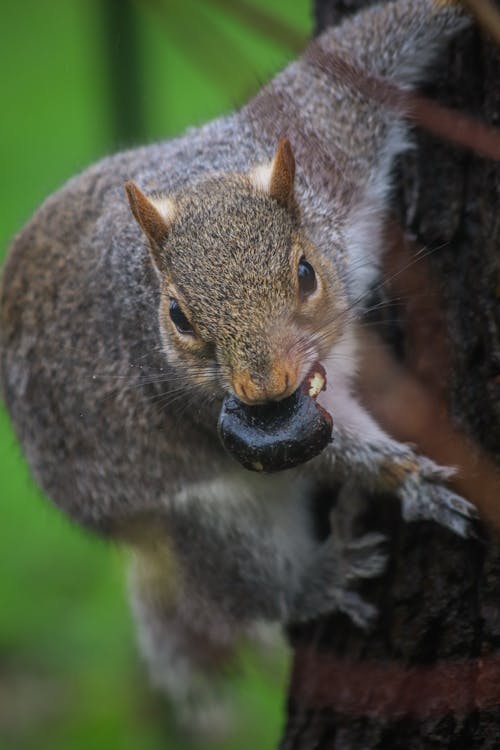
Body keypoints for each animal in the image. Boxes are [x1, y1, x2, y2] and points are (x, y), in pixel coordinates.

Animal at [0, 0, 476, 736]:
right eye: (178, 316)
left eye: (305, 272)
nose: (264, 388)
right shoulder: (192, 403)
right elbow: (334, 450)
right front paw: (405, 474)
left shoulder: (328, 131)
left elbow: (365, 52)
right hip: (209, 522)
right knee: (252, 584)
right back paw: (322, 577)